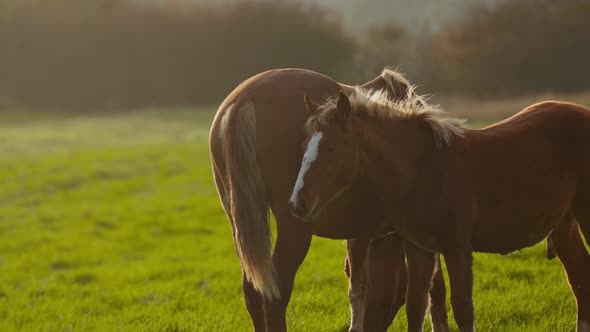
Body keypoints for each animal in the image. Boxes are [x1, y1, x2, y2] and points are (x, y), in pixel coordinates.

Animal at [210, 68, 450, 332]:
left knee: (253, 291)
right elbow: (430, 289)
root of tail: (245, 98)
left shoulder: (362, 231)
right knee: (275, 296)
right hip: (294, 229)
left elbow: (359, 285)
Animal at [294, 89, 590, 332]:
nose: (298, 202)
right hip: (564, 224)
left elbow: (463, 308)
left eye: (331, 147)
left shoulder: (457, 247)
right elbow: (416, 306)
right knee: (579, 279)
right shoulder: (419, 248)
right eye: (304, 146)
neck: (424, 169)